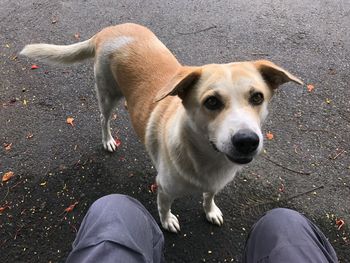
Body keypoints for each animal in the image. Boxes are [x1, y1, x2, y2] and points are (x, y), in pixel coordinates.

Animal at [20, 22, 302, 233]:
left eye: (257, 97)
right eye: (211, 102)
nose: (247, 141)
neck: (205, 158)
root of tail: (108, 30)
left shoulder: (214, 184)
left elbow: (209, 195)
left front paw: (210, 210)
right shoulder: (164, 189)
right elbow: (164, 208)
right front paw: (167, 221)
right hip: (107, 95)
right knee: (103, 119)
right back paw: (108, 139)